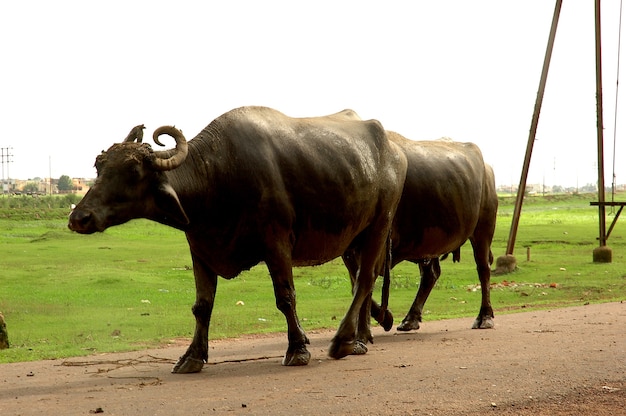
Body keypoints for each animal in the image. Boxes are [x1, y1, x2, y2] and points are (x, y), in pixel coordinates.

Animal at [67, 106, 404, 374]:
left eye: (133, 170)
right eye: (100, 166)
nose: (80, 218)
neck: (218, 175)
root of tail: (394, 152)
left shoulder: (276, 242)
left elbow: (286, 297)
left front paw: (297, 349)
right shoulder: (200, 248)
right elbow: (202, 306)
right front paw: (192, 357)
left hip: (380, 223)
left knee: (364, 279)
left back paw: (342, 341)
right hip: (354, 237)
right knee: (363, 280)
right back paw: (359, 339)